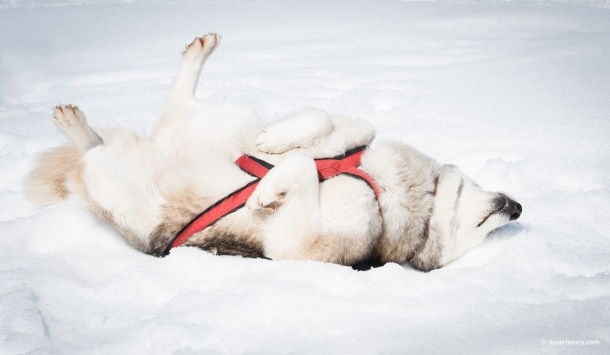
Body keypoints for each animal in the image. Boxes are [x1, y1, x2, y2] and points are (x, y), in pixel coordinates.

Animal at [23, 34, 516, 272]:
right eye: (487, 223)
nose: (518, 207)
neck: (386, 186)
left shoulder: (297, 246)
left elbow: (299, 172)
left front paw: (266, 190)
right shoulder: (353, 135)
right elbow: (321, 119)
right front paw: (275, 142)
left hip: (115, 183)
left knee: (94, 155)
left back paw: (77, 129)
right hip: (226, 119)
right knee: (178, 106)